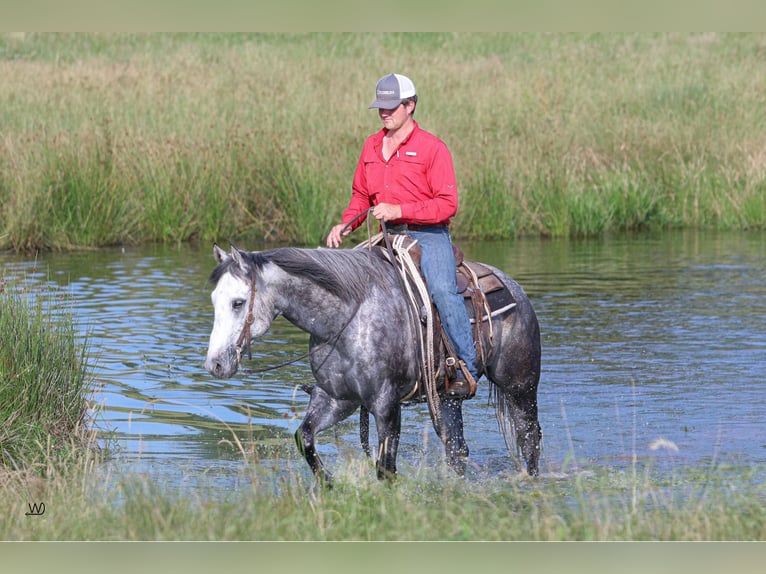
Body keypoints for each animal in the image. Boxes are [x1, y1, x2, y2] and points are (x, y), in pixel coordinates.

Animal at [204, 243, 540, 486]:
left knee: (530, 438)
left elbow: (385, 467)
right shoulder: (338, 399)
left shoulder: (386, 403)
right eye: (214, 300)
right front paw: (329, 484)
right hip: (447, 397)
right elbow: (306, 438)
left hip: (520, 386)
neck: (345, 319)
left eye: (238, 302)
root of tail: (515, 288)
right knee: (456, 448)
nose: (215, 364)